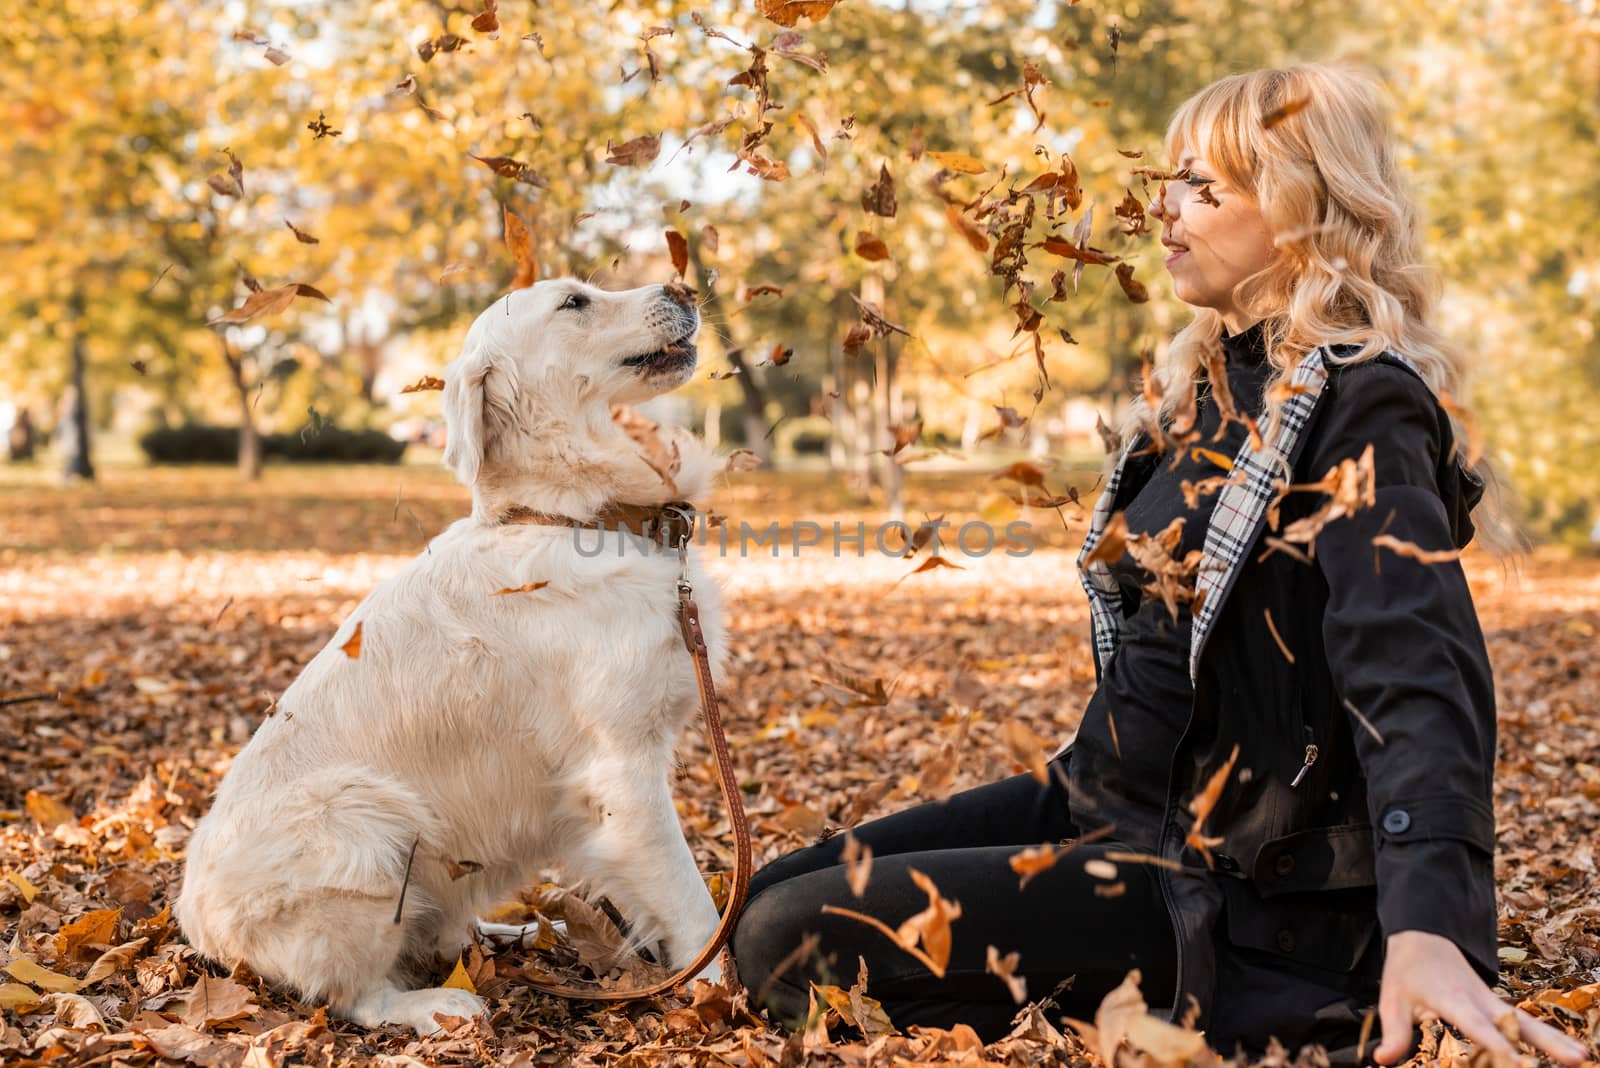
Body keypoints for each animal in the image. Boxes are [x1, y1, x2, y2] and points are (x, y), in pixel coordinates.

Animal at [175, 281, 726, 1036]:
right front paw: (730, 988)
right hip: (364, 815)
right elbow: (698, 906)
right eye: (575, 302)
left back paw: (519, 934)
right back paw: (440, 1004)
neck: (570, 516)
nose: (683, 285)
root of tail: (194, 924)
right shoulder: (623, 773)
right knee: (356, 996)